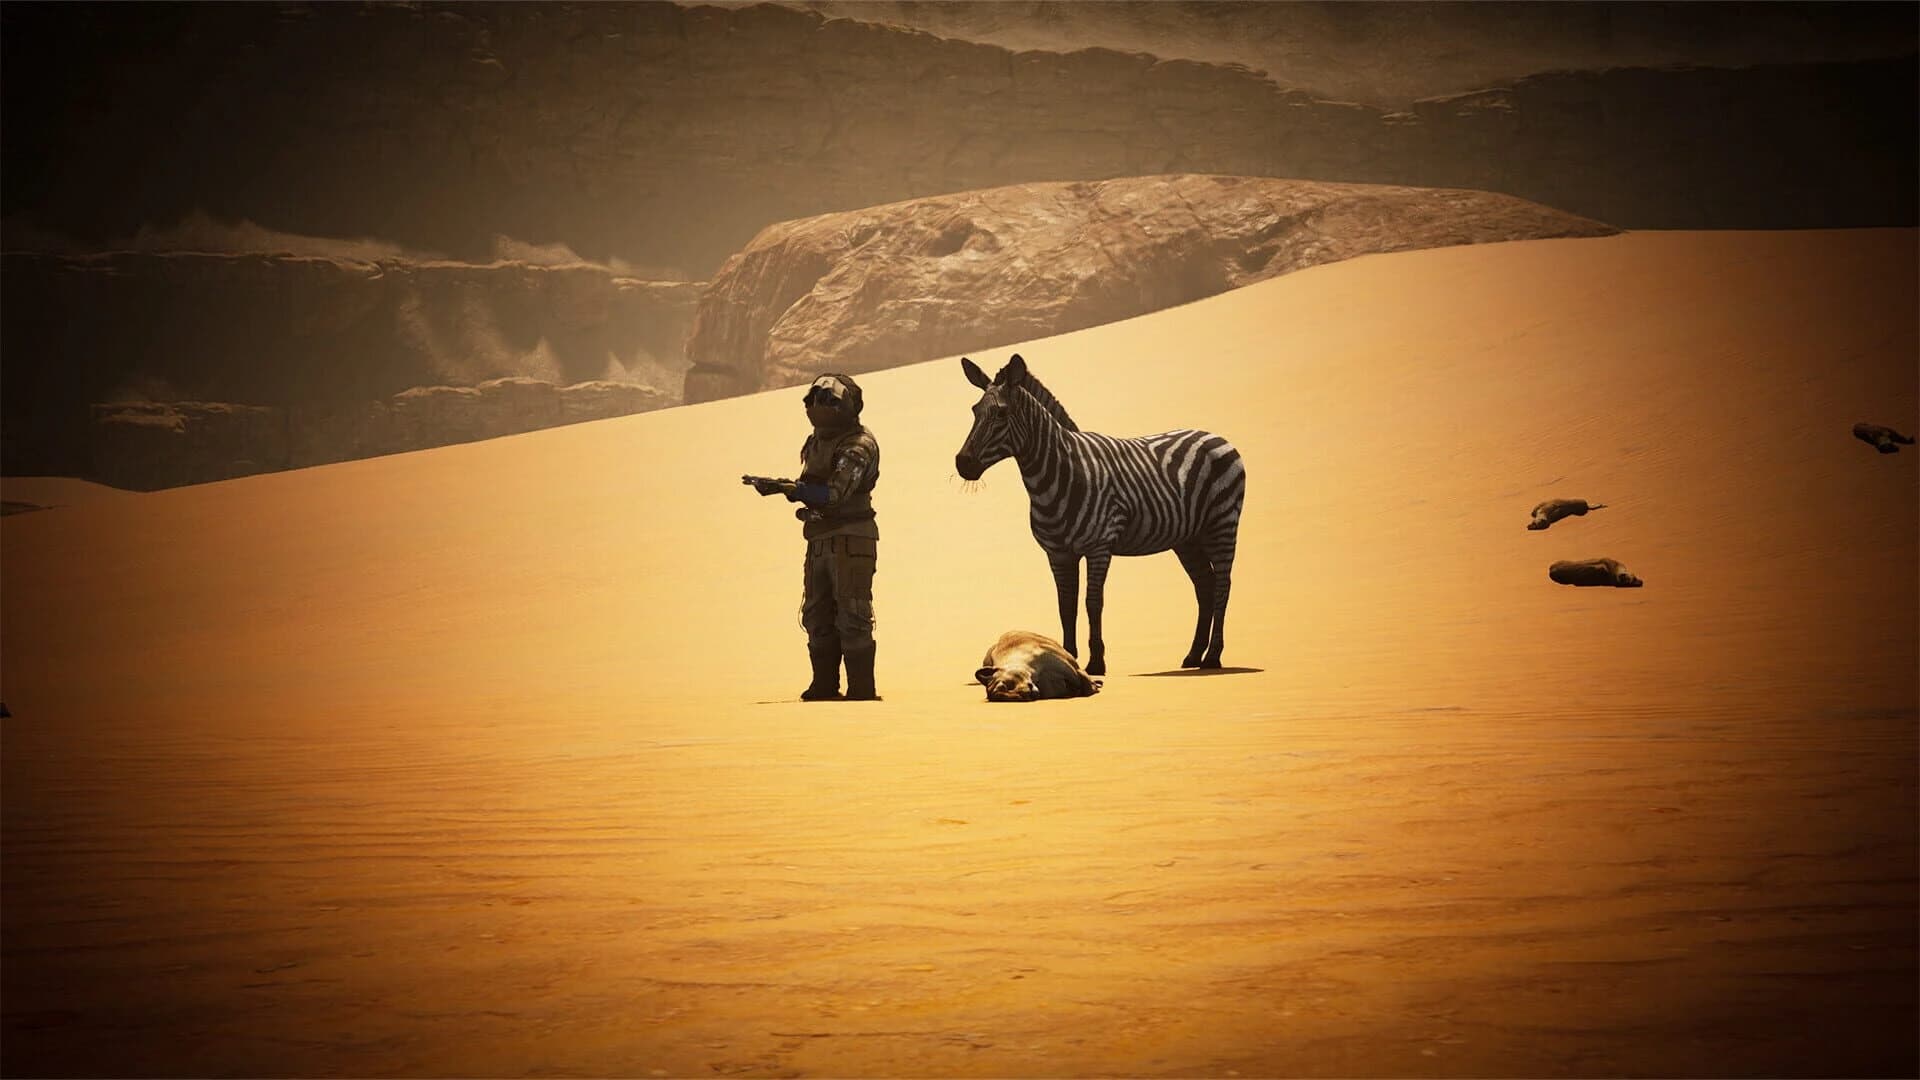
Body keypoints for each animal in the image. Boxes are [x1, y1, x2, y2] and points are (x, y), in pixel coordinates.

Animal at [954, 353, 1245, 675]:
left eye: (1001, 414)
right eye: (975, 411)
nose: (963, 463)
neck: (1059, 474)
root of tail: (1218, 436)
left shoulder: (1099, 546)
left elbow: (1093, 603)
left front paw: (1096, 662)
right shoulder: (1058, 553)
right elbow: (1066, 604)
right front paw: (1067, 656)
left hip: (1222, 523)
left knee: (1223, 585)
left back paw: (1213, 656)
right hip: (1187, 538)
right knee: (1205, 585)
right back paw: (1194, 656)